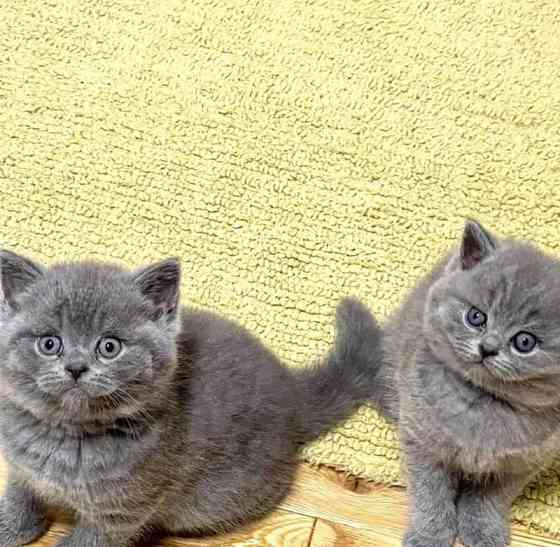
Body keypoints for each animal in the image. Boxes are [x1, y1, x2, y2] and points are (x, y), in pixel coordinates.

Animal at [0, 253, 380, 547]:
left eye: (109, 347)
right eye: (50, 343)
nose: (76, 367)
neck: (66, 434)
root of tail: (291, 390)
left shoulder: (122, 511)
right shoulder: (21, 469)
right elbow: (19, 499)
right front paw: (12, 529)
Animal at [350, 222, 560, 547]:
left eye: (524, 342)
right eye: (476, 317)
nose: (487, 347)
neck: (483, 400)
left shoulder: (522, 463)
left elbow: (490, 499)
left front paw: (484, 532)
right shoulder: (422, 441)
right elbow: (430, 495)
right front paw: (429, 535)